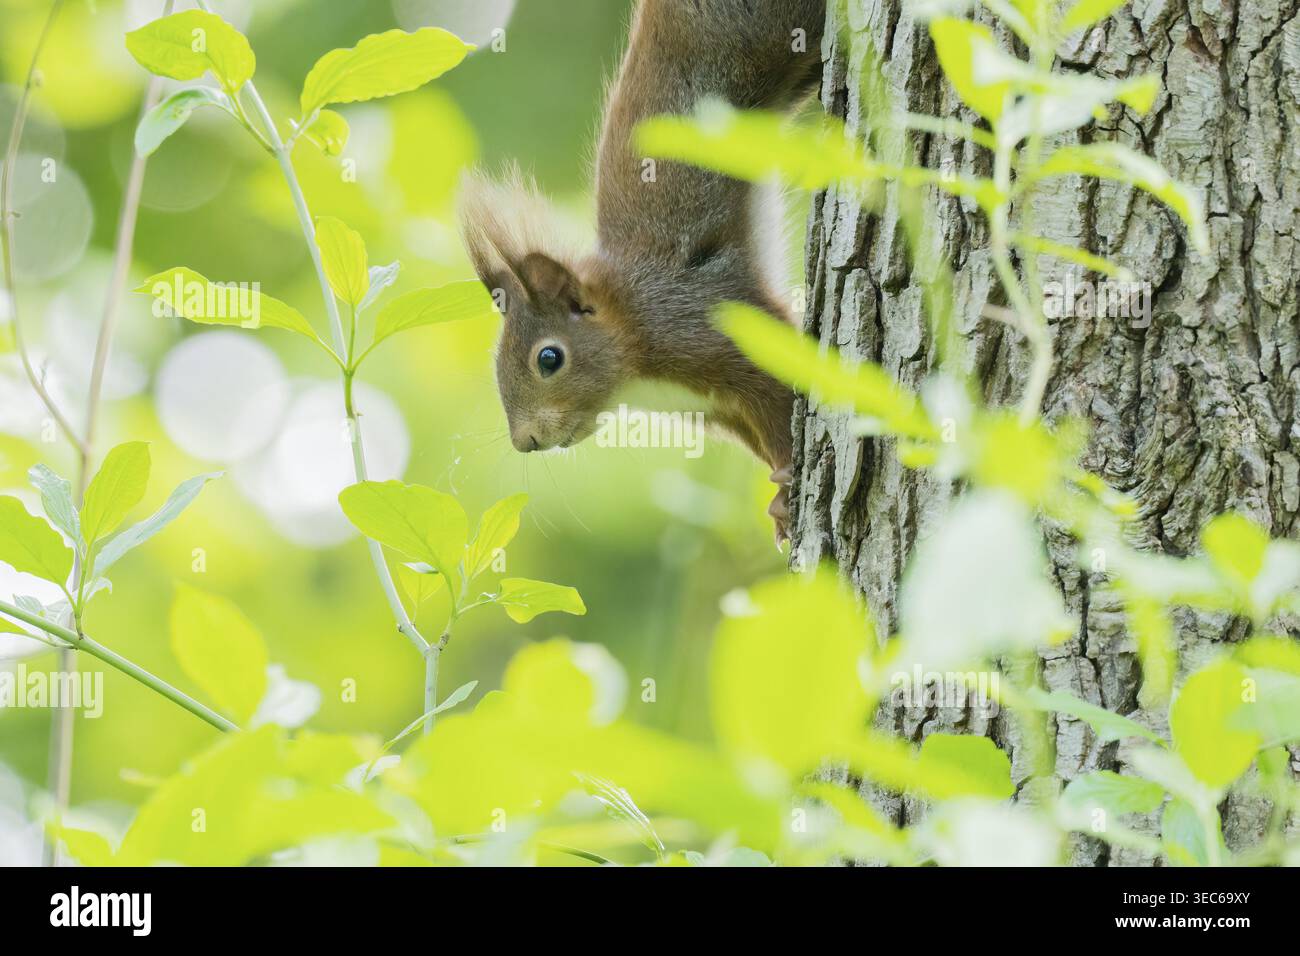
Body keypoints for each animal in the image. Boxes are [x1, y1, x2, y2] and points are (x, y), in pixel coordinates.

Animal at [460, 0, 827, 544]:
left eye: (549, 358)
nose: (525, 440)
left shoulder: (707, 326)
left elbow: (780, 398)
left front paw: (787, 487)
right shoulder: (716, 409)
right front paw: (779, 505)